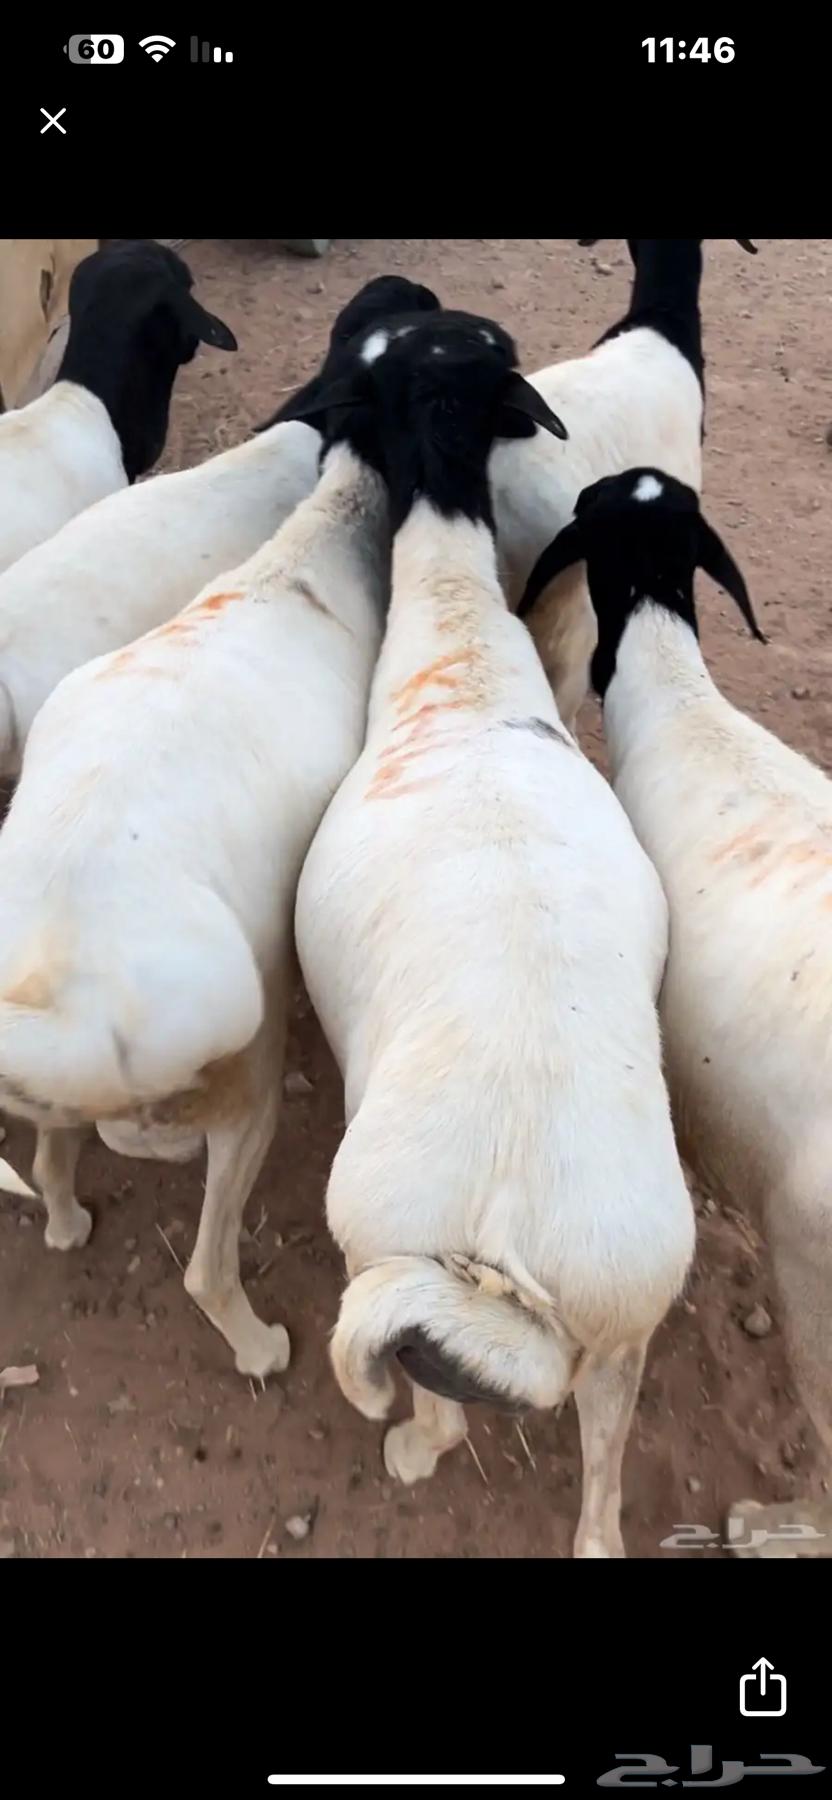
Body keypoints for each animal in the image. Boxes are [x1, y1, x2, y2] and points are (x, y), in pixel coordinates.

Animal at [0, 276, 437, 1379]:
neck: (313, 550)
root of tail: (53, 992)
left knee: (58, 1151)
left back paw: (66, 1216)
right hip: (244, 1061)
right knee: (197, 1251)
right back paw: (256, 1340)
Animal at [291, 316, 695, 1557]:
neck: (461, 659)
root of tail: (506, 1241)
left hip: (380, 1250)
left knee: (433, 1387)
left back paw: (416, 1447)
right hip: (621, 1325)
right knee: (604, 1462)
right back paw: (598, 1532)